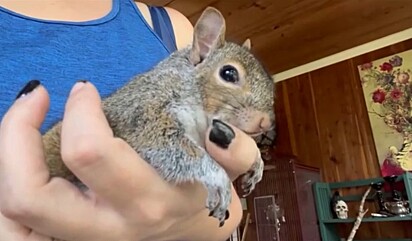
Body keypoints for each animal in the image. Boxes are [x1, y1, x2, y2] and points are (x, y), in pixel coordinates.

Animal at [41, 5, 276, 228]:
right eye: (228, 73)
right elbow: (173, 148)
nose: (265, 122)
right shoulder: (145, 114)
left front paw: (257, 162)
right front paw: (219, 178)